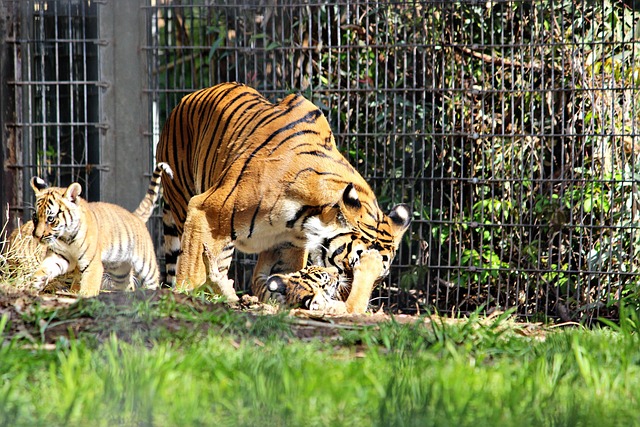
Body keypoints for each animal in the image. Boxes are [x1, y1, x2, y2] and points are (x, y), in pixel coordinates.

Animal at [28, 162, 173, 296]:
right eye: (35, 217)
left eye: (50, 219)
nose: (37, 236)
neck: (66, 236)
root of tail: (134, 215)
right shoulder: (60, 256)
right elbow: (45, 267)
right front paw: (36, 282)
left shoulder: (92, 263)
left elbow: (89, 284)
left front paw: (85, 297)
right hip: (119, 270)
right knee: (126, 285)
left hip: (146, 265)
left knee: (153, 281)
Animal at [156, 82, 411, 313]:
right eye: (348, 267)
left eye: (380, 279)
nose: (350, 306)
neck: (304, 218)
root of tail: (184, 99)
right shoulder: (205, 211)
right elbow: (191, 268)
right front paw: (185, 298)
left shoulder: (288, 245)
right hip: (185, 204)